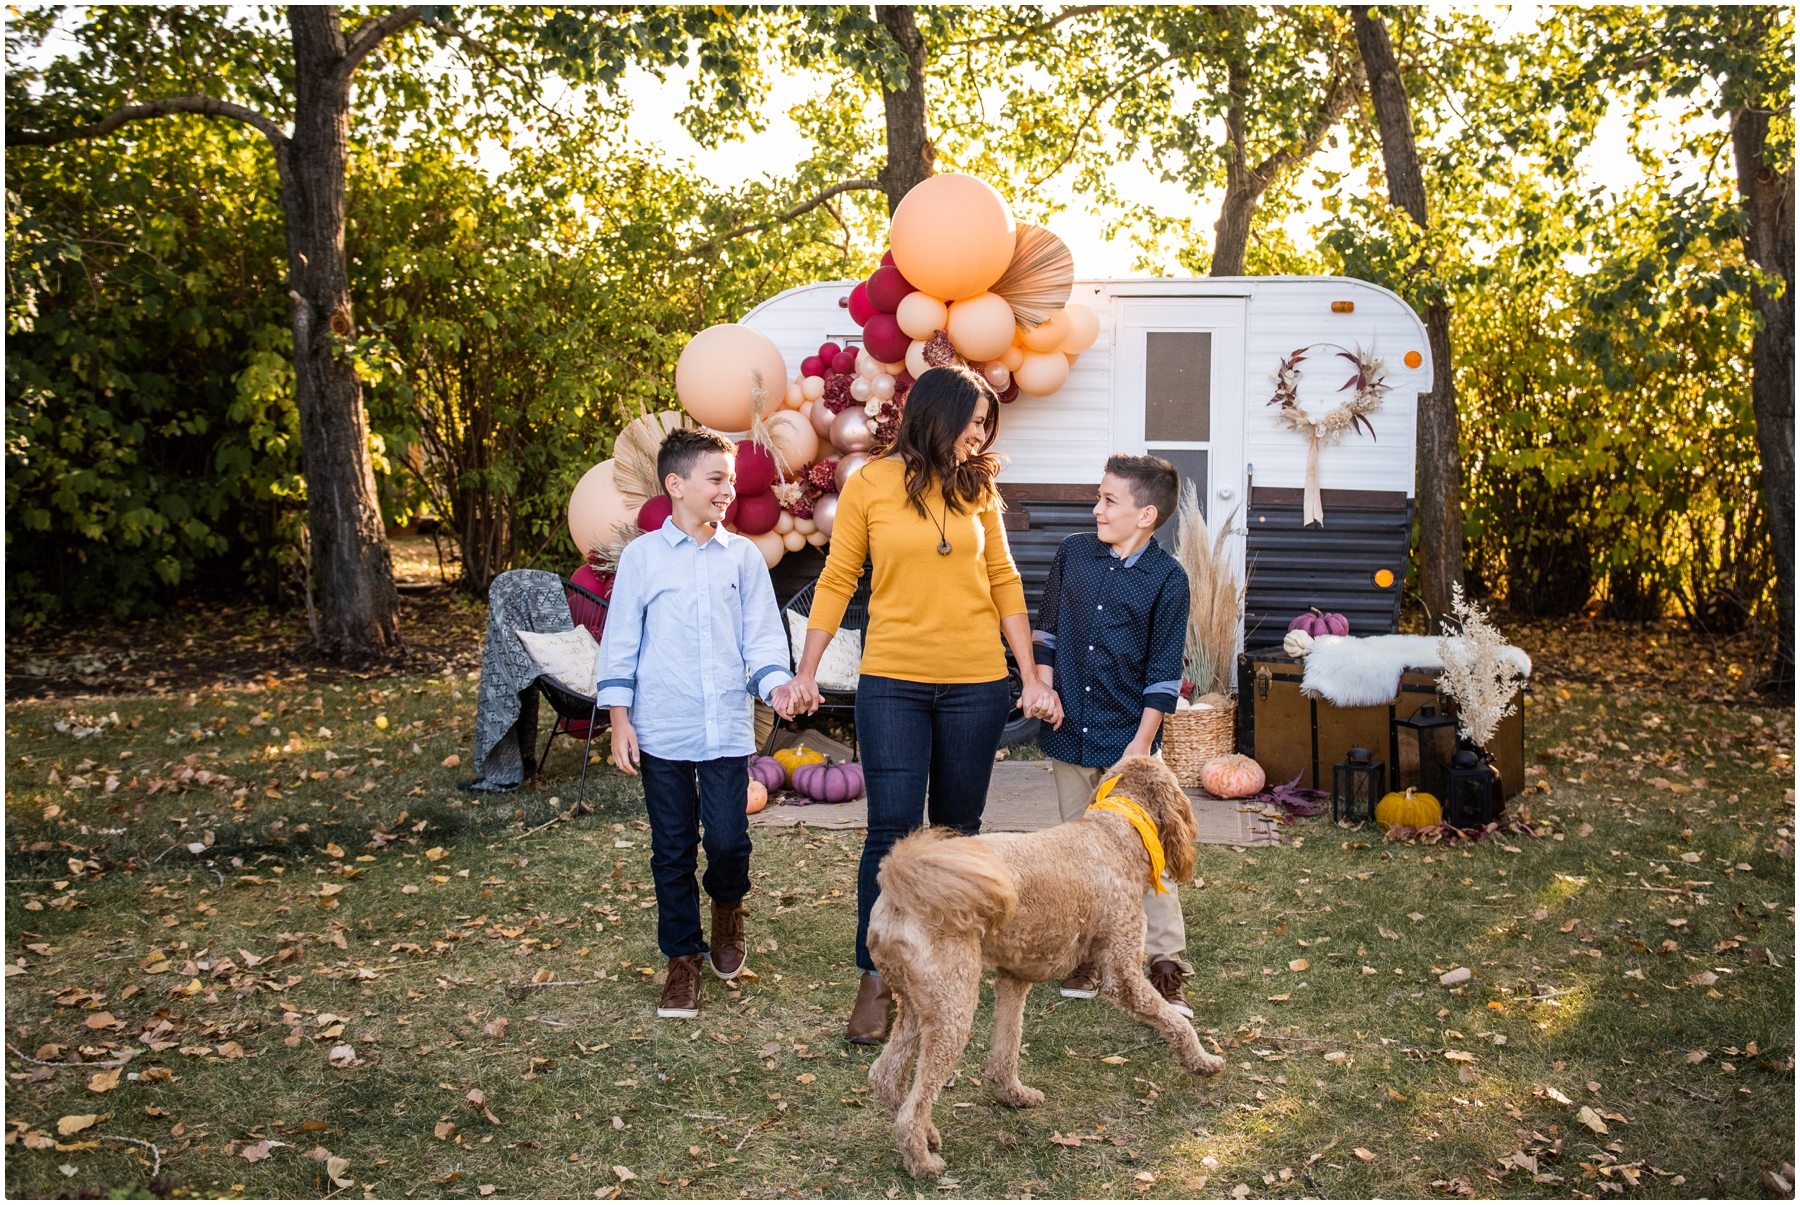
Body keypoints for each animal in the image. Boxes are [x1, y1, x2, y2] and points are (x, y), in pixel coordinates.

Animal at [856, 752, 1224, 1174]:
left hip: (920, 1005)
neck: (1114, 832)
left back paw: (928, 1134)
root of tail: (898, 887)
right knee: (912, 1106)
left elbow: (1007, 1043)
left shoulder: (1013, 977)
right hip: (952, 1008)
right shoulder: (1123, 973)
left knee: (885, 1077)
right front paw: (1201, 1060)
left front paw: (1012, 1094)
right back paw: (922, 1161)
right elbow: (1175, 1021)